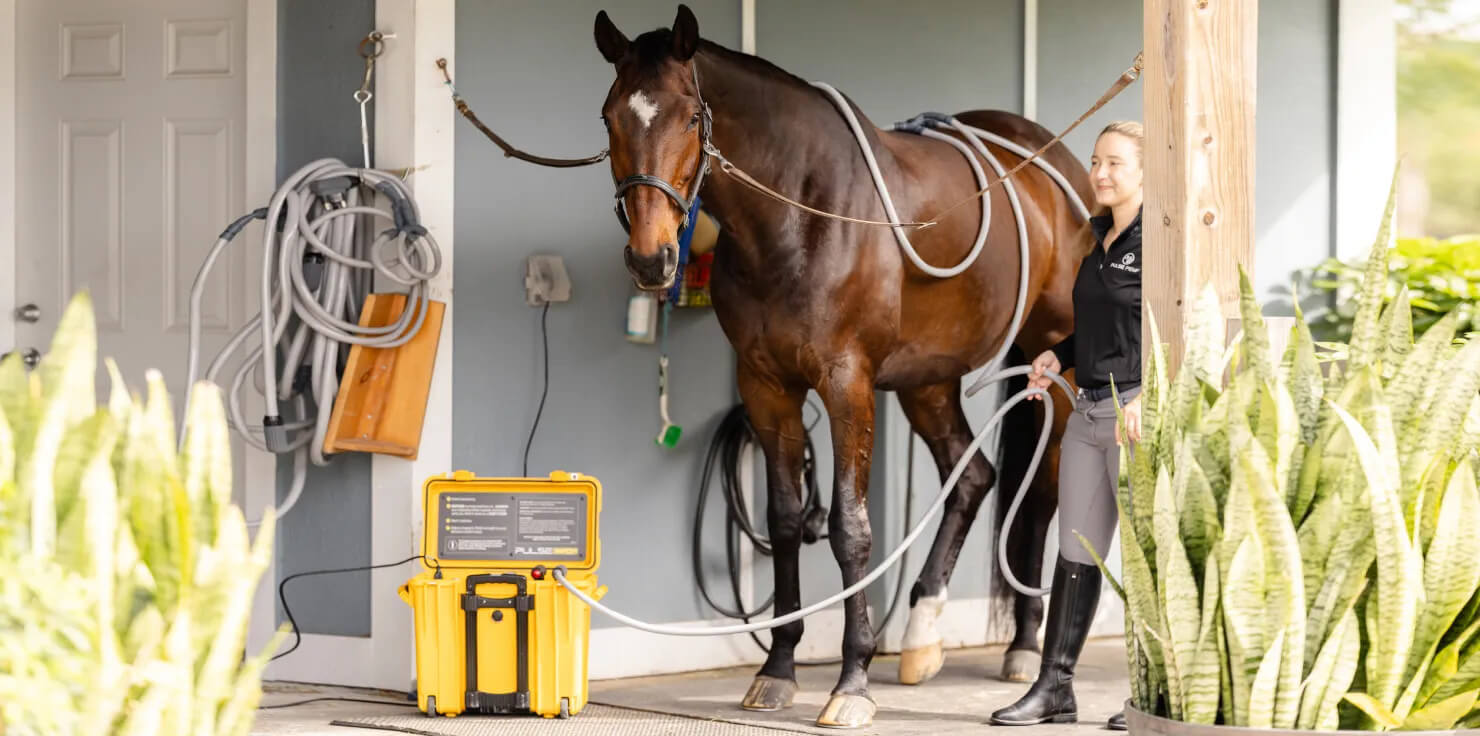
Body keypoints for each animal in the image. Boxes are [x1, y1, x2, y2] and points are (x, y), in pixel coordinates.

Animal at [594, 4, 1095, 728]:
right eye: (610, 116)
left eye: (690, 117)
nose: (651, 257)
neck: (798, 212)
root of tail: (1059, 163)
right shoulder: (766, 385)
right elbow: (782, 519)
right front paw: (777, 671)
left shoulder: (846, 384)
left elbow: (850, 530)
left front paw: (852, 682)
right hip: (928, 379)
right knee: (973, 476)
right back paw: (921, 635)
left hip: (1055, 367)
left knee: (1043, 493)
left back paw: (1025, 648)